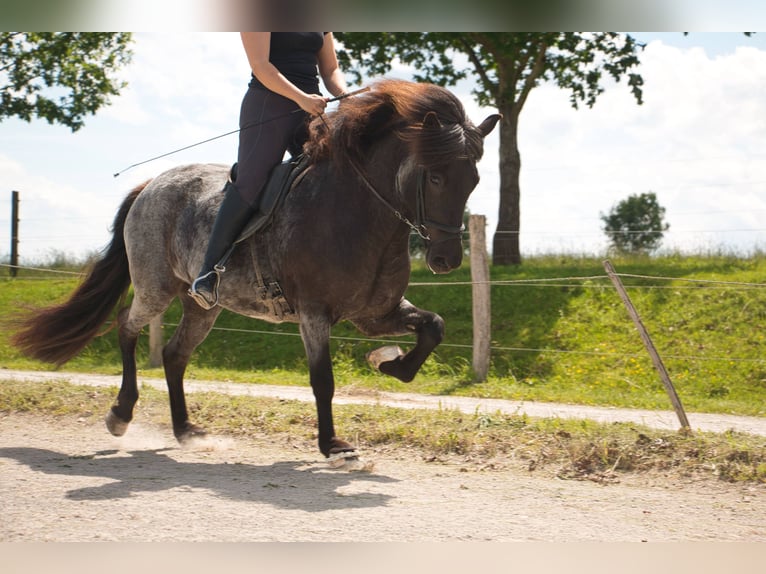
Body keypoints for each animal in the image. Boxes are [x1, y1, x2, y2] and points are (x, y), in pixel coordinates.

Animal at [13, 80, 504, 468]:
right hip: (155, 288)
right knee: (126, 329)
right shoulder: (314, 313)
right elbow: (322, 380)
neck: (355, 211)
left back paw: (187, 430)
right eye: (436, 177)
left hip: (201, 306)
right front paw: (334, 446)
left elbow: (433, 327)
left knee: (173, 354)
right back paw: (121, 414)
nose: (446, 260)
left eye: (474, 180)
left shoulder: (375, 313)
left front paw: (389, 363)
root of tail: (151, 185)